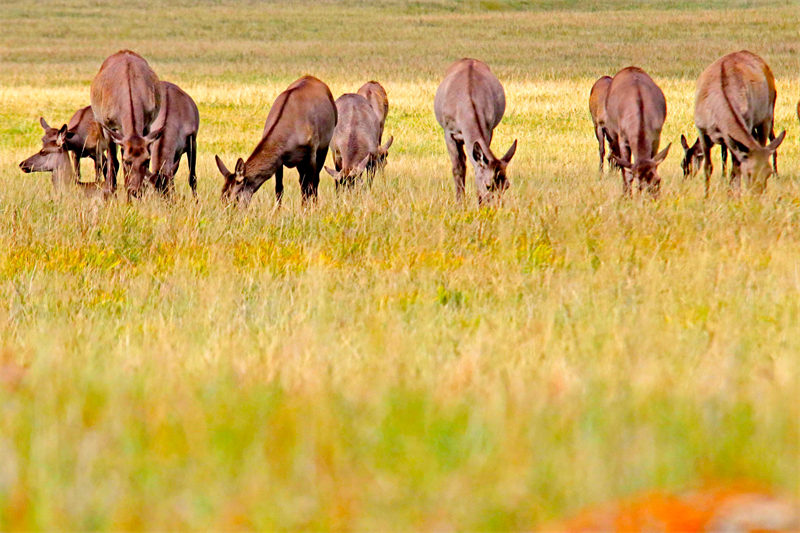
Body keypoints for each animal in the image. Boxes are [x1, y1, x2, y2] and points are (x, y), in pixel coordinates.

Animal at [90, 50, 163, 197]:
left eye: (146, 160)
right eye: (127, 160)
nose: (136, 191)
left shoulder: (147, 125)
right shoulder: (110, 126)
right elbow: (115, 162)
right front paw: (116, 194)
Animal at [214, 76, 336, 207]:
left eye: (235, 199)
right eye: (222, 198)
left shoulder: (311, 152)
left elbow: (311, 186)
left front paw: (310, 209)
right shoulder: (279, 160)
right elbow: (279, 189)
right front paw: (278, 210)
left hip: (324, 146)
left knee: (314, 181)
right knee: (301, 182)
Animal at [434, 58, 516, 204]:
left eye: (507, 186)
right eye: (488, 185)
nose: (496, 206)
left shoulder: (488, 129)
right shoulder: (449, 132)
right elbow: (457, 168)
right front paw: (460, 203)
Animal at [604, 66, 672, 197]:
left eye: (658, 181)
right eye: (639, 185)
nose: (654, 198)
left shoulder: (656, 137)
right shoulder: (623, 138)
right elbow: (626, 172)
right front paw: (627, 196)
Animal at [692, 49, 780, 195]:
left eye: (768, 173)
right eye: (749, 173)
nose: (758, 195)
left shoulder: (746, 124)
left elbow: (735, 169)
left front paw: (733, 196)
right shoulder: (701, 130)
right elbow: (708, 167)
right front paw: (706, 195)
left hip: (767, 115)